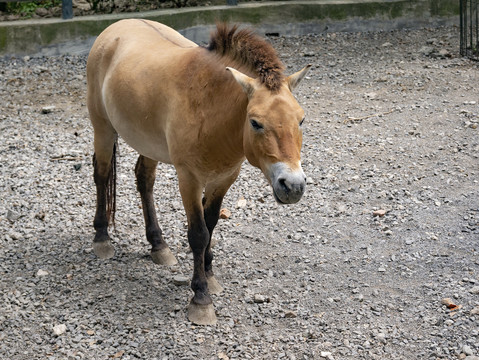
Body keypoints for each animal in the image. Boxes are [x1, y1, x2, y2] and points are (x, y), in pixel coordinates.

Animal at [86, 18, 312, 324]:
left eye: (301, 120)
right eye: (255, 123)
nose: (293, 186)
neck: (209, 106)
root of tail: (115, 28)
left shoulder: (224, 178)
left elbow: (211, 223)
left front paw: (210, 275)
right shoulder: (189, 179)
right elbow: (198, 233)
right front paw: (201, 298)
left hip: (148, 143)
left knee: (144, 180)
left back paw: (158, 245)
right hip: (102, 129)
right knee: (101, 174)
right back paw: (101, 239)